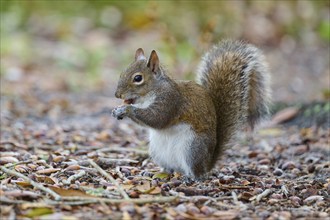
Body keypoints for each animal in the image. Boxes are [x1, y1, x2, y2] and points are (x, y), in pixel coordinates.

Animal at [111, 40, 270, 178]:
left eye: (138, 78)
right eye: (121, 73)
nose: (117, 94)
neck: (149, 94)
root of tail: (208, 163)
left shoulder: (170, 100)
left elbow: (157, 118)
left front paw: (127, 109)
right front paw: (117, 110)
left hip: (192, 148)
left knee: (197, 172)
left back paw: (190, 178)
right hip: (157, 151)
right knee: (169, 168)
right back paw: (156, 172)